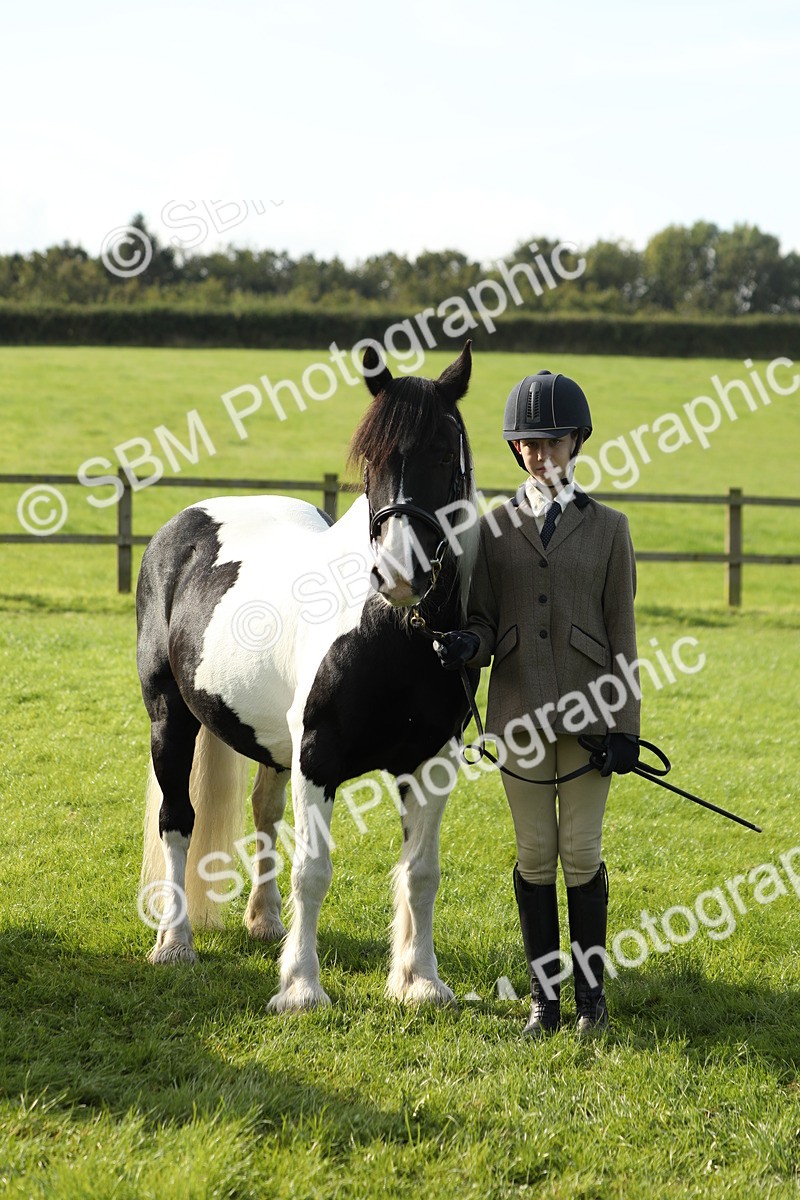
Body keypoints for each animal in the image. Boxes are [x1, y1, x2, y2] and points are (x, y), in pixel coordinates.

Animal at [137, 341, 480, 1010]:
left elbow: (422, 872)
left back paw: (264, 919)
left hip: (272, 747)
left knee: (264, 814)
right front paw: (299, 988)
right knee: (177, 822)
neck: (395, 632)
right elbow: (313, 871)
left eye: (445, 453)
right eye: (370, 460)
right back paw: (175, 944)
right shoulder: (318, 757)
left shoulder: (432, 760)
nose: (398, 572)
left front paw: (420, 981)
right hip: (172, 720)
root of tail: (181, 527)